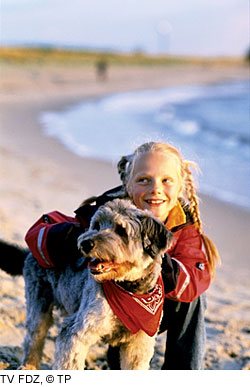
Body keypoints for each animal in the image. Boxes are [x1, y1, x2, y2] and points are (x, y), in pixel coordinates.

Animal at [0, 200, 172, 370]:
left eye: (121, 230)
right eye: (96, 225)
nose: (85, 243)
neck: (129, 289)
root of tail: (30, 252)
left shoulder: (139, 345)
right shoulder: (76, 332)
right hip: (38, 299)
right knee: (34, 335)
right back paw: (28, 365)